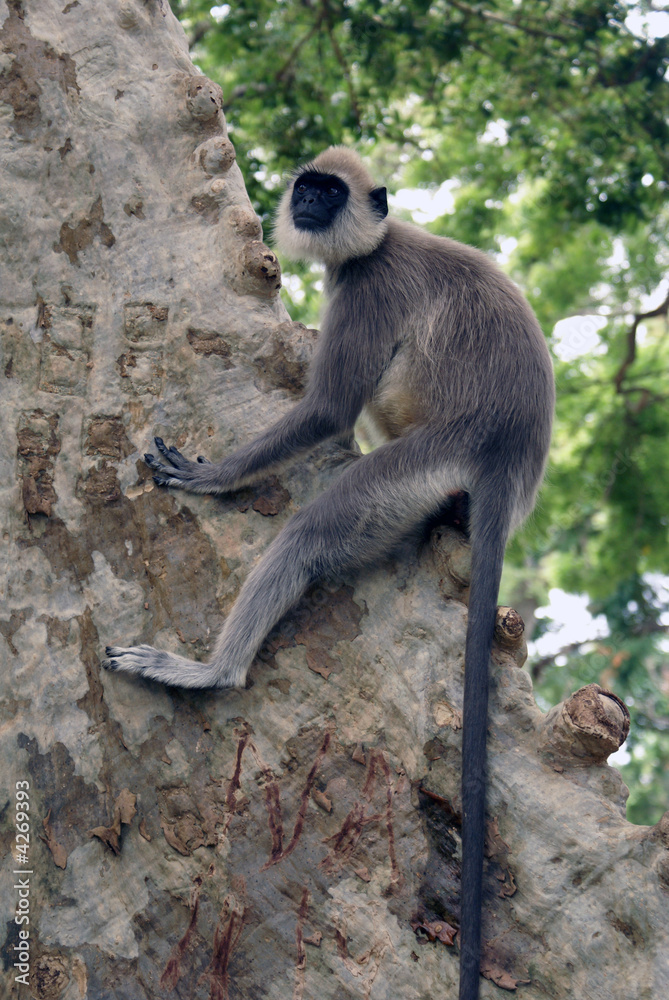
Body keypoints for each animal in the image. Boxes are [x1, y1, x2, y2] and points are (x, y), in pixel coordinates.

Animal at [105, 146, 554, 999]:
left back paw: (211, 671)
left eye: (329, 192)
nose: (308, 204)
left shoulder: (367, 286)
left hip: (418, 464)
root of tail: (506, 457)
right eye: (307, 188)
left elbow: (328, 409)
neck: (374, 242)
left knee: (313, 528)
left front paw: (213, 478)